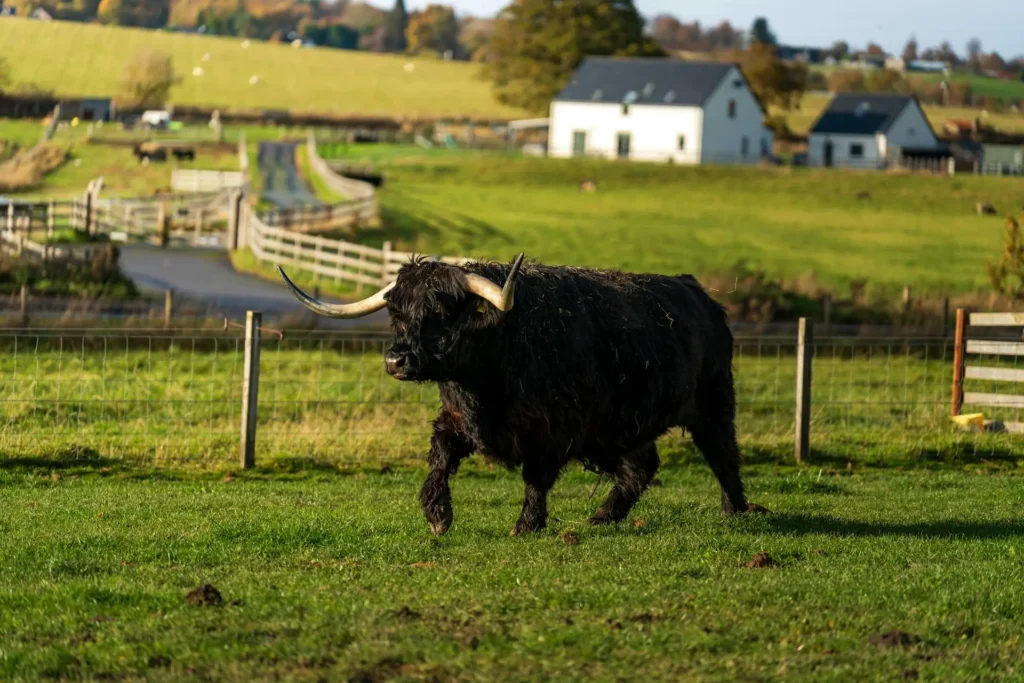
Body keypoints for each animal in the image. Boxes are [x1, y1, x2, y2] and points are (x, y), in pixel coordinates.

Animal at [278, 255, 766, 536]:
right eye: (395, 313)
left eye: (438, 311)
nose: (396, 361)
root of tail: (699, 294)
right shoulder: (459, 418)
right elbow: (439, 457)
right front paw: (438, 515)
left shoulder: (552, 430)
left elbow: (536, 478)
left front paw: (526, 525)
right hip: (619, 427)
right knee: (641, 466)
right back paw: (603, 516)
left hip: (713, 401)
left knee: (724, 455)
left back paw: (737, 510)